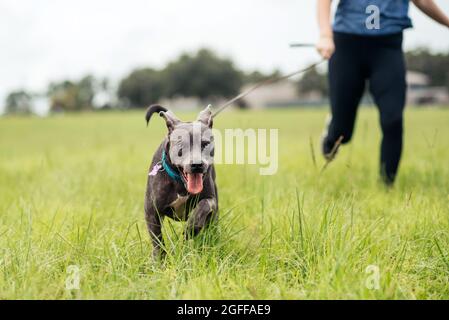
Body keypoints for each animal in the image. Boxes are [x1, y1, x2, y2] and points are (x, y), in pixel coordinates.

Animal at [143, 104, 218, 258]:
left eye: (205, 144)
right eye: (181, 144)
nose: (197, 164)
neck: (180, 184)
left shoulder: (211, 199)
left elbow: (204, 205)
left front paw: (192, 228)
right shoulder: (151, 211)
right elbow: (157, 240)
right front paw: (159, 259)